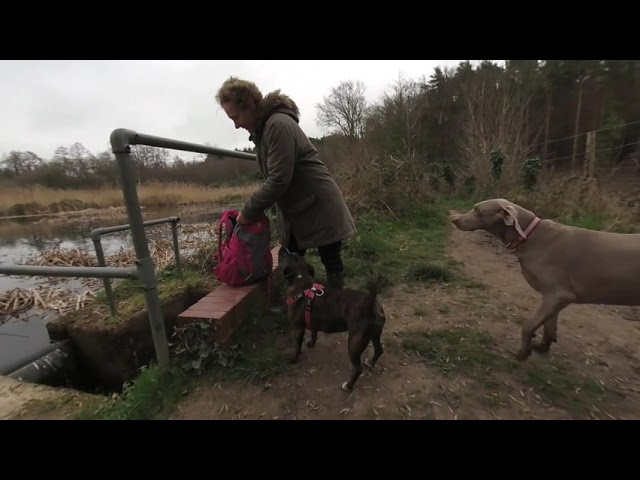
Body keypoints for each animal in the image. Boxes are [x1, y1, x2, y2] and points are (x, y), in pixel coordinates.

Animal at [282, 251, 384, 390]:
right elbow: (314, 334)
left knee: (357, 368)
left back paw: (348, 386)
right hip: (374, 334)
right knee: (379, 350)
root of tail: (370, 303)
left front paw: (293, 359)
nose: (289, 251)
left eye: (288, 256)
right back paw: (371, 363)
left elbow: (297, 347)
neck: (301, 278)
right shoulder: (313, 323)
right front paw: (311, 343)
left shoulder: (298, 329)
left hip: (355, 343)